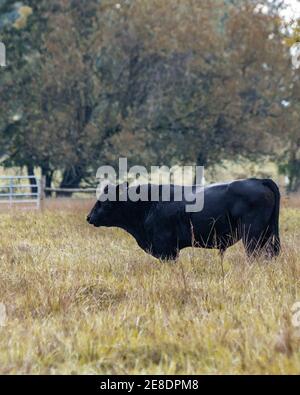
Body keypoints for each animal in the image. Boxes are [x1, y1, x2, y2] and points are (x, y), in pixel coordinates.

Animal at [88, 179, 280, 260]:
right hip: (266, 234)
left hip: (252, 236)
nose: (89, 217)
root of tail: (258, 180)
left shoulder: (167, 249)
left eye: (104, 202)